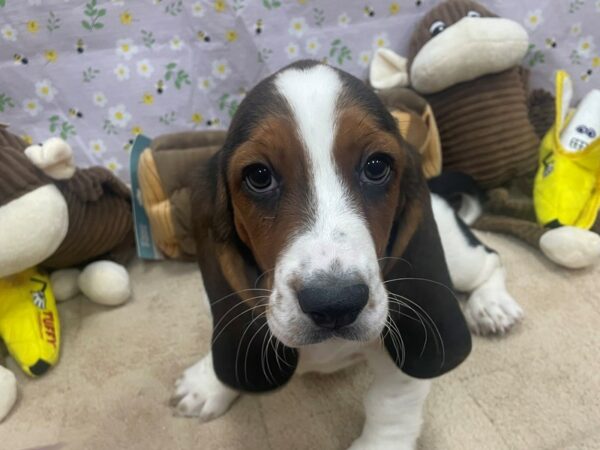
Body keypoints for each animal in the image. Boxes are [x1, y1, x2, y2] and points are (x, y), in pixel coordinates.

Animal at [171, 60, 524, 450]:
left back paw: (492, 306)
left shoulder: (397, 356)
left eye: (376, 166)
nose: (334, 304)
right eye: (259, 175)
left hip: (457, 255)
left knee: (491, 258)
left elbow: (389, 405)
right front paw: (208, 383)